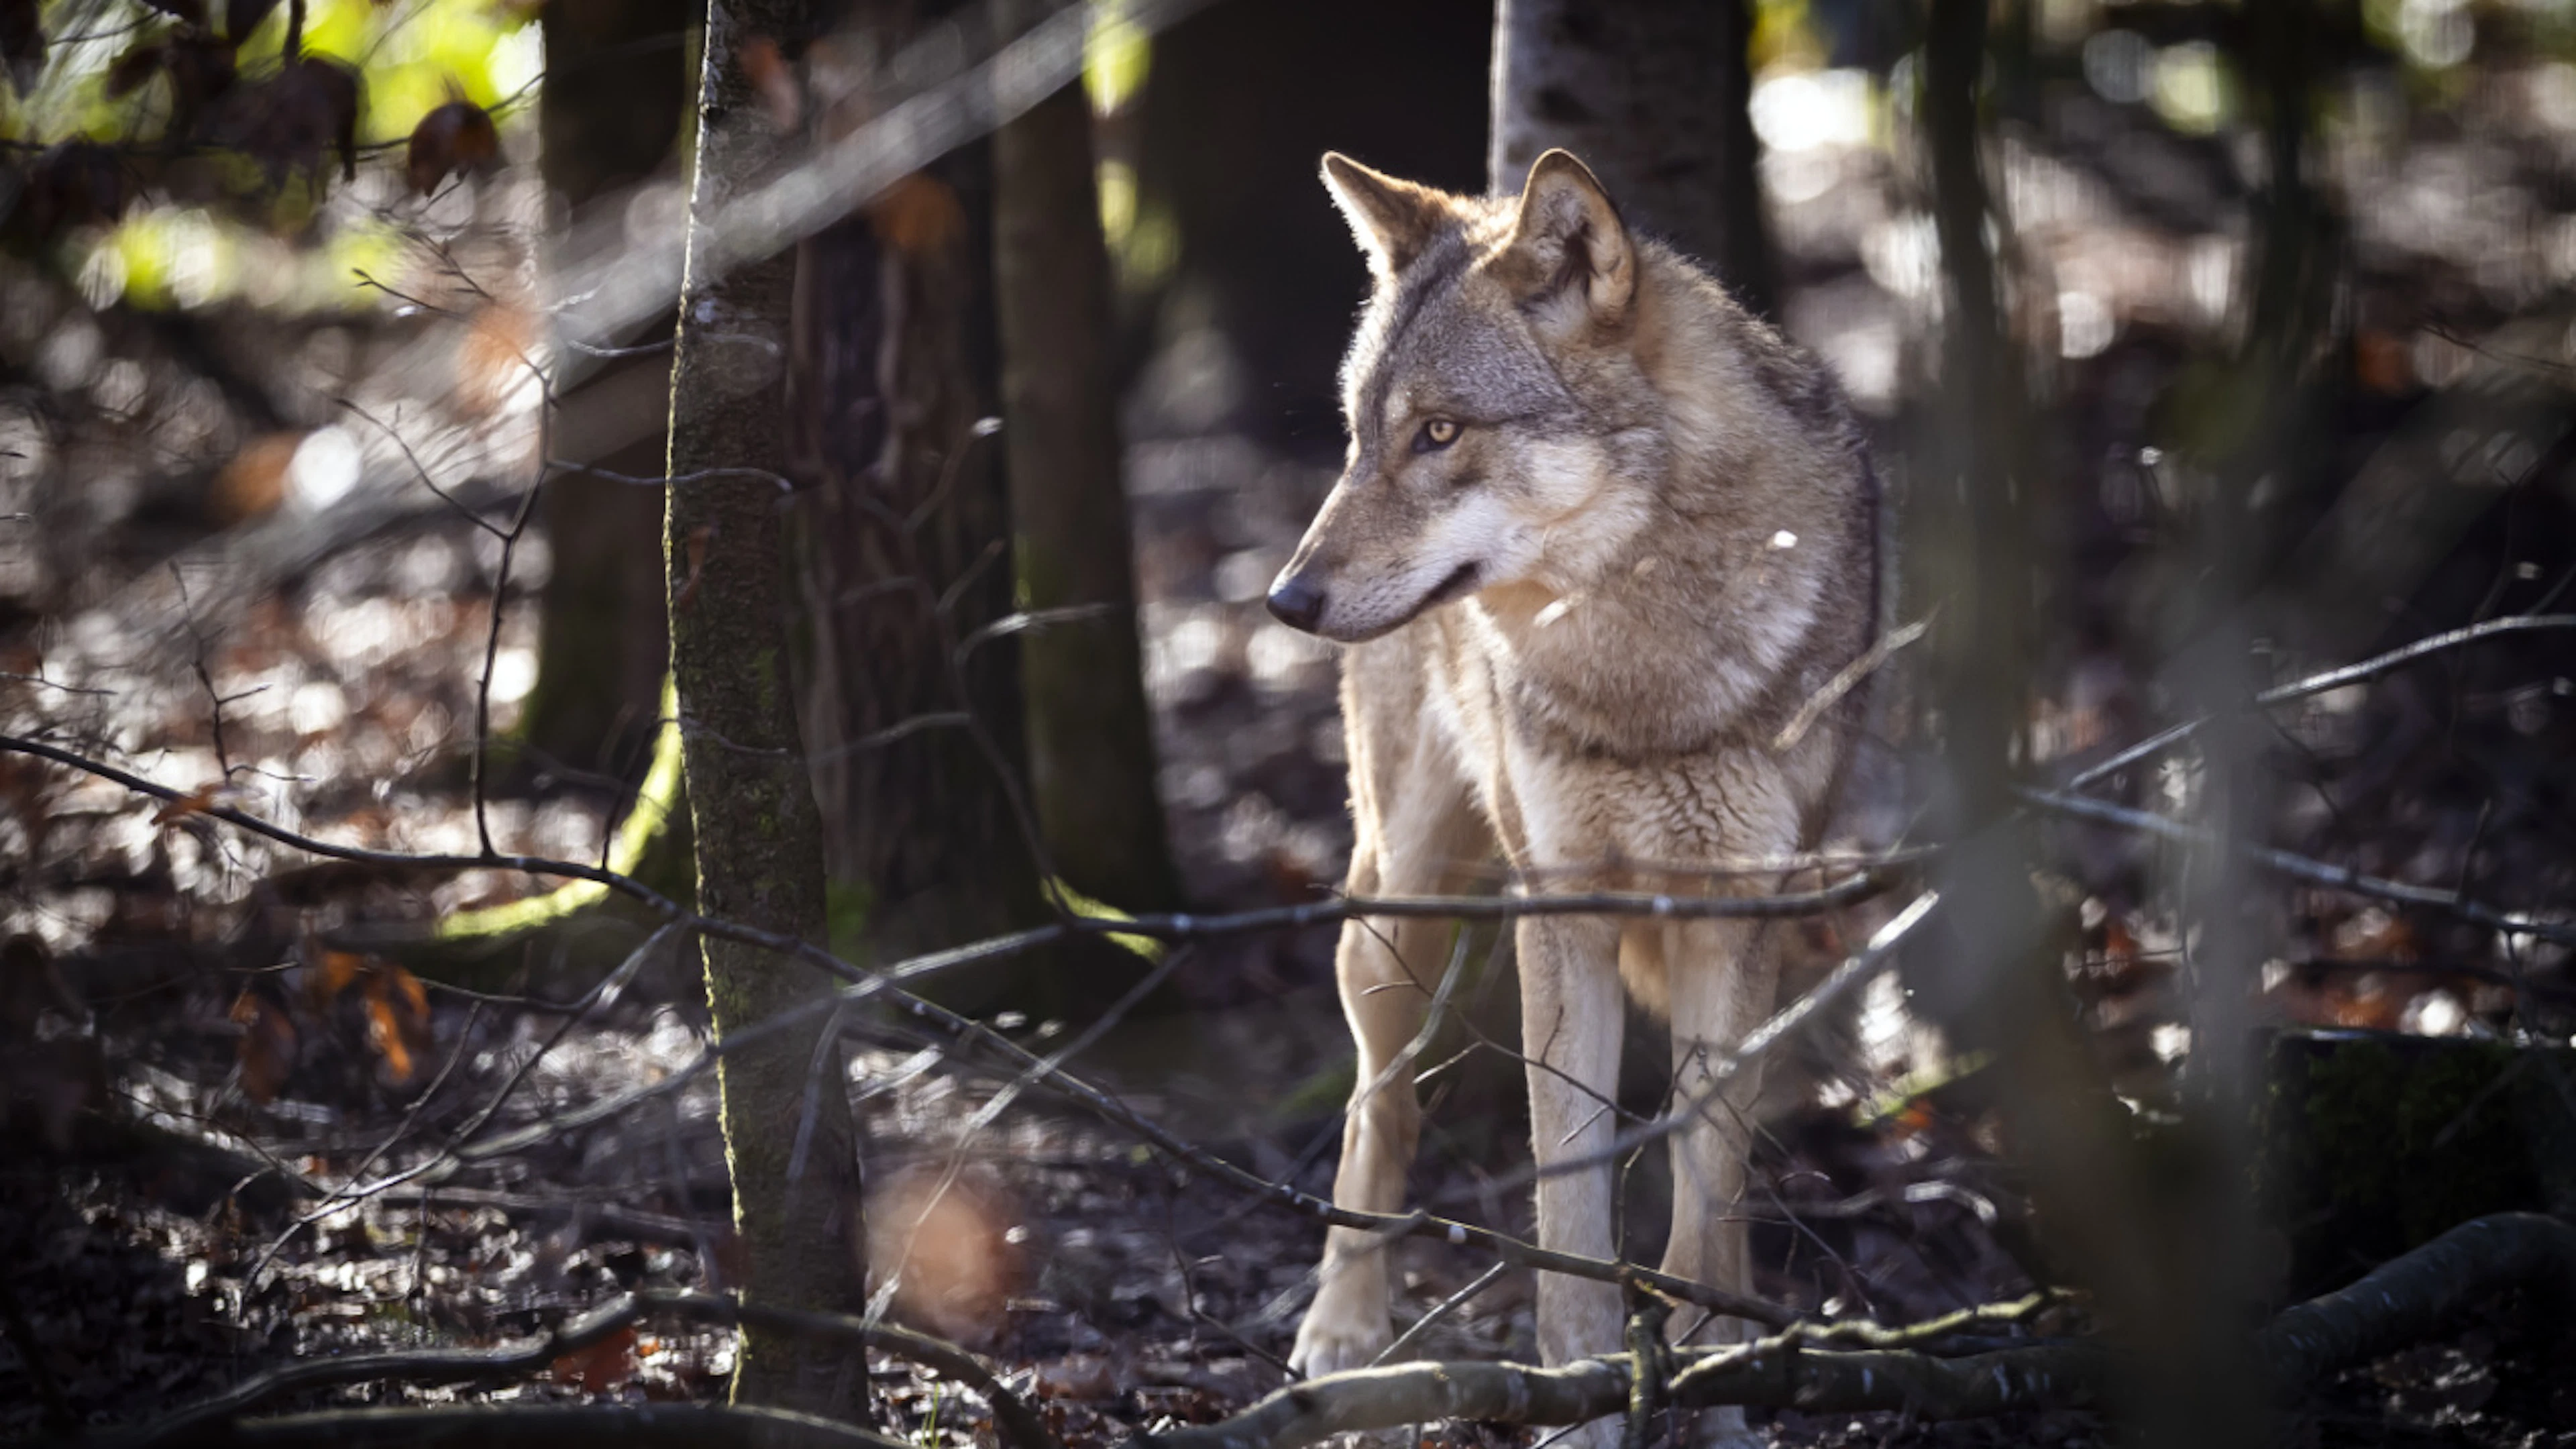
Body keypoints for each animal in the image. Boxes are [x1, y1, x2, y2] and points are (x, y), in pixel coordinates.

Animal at [1268, 149, 1879, 1440]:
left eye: (1439, 432)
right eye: (1359, 437)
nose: (1284, 601)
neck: (1643, 665)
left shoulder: (1733, 916)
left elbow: (1707, 1194)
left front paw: (1719, 1381)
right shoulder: (1562, 916)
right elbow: (1571, 1206)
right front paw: (1588, 1394)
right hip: (1394, 910)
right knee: (1379, 1106)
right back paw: (1343, 1334)